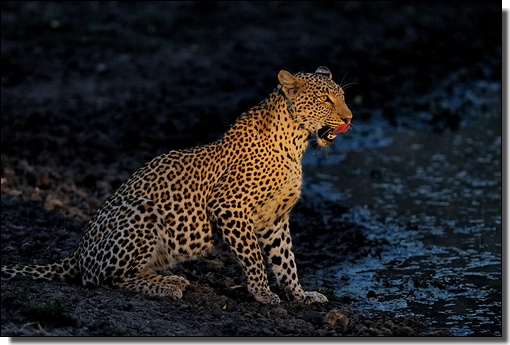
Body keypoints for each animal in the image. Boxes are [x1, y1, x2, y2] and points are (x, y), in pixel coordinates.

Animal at [0, 66, 350, 304]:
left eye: (343, 97)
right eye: (325, 99)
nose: (349, 118)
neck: (296, 142)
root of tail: (78, 252)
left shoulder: (275, 219)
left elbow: (285, 260)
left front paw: (301, 295)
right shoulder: (230, 206)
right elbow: (253, 256)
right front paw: (263, 294)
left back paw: (170, 278)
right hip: (142, 212)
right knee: (102, 280)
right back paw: (165, 288)